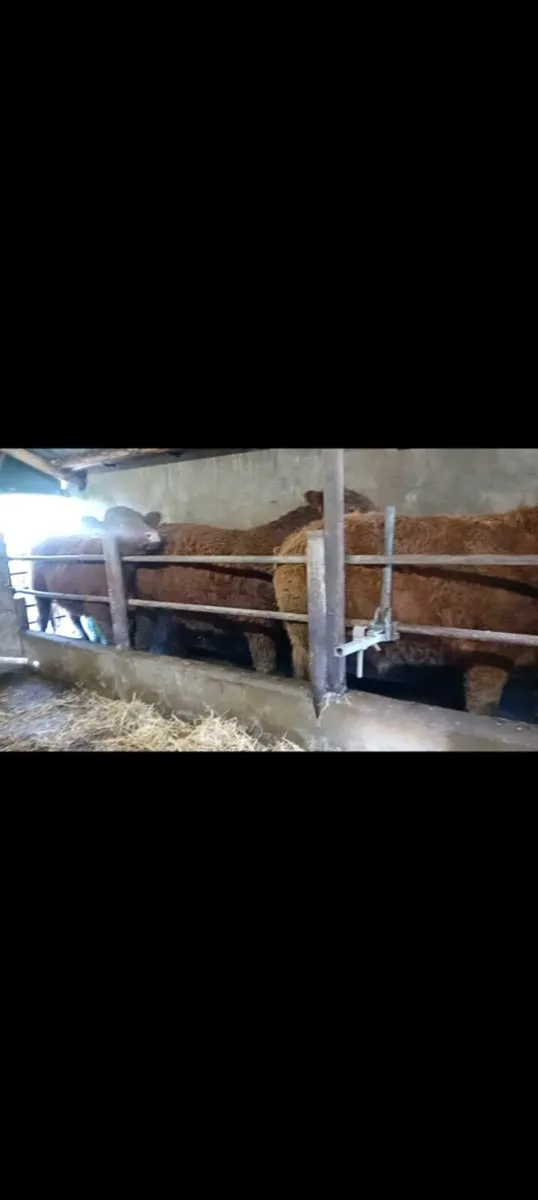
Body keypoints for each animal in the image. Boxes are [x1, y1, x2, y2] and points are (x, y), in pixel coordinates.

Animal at [32, 506, 163, 643]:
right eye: (118, 524)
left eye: (144, 520)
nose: (153, 535)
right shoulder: (98, 609)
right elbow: (111, 636)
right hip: (39, 591)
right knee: (43, 616)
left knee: (74, 618)